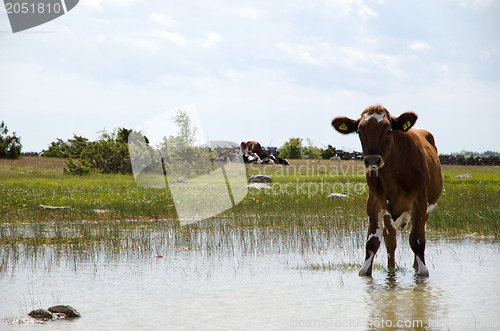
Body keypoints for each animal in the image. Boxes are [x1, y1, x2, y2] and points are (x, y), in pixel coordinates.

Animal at [332, 106, 442, 278]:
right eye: (359, 132)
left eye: (389, 131)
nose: (372, 160)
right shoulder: (374, 202)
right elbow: (372, 242)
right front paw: (366, 271)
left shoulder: (420, 202)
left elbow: (417, 240)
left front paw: (422, 271)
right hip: (389, 214)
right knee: (390, 239)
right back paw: (391, 269)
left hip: (427, 208)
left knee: (418, 232)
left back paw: (415, 266)